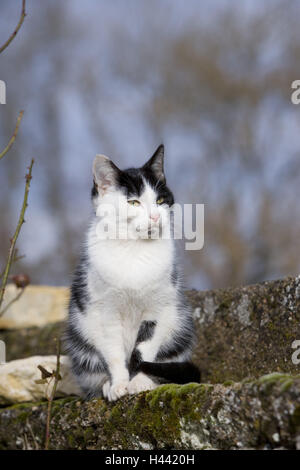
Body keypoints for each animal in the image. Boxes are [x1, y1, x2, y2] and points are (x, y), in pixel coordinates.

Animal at [65, 144, 202, 400]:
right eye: (134, 203)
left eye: (160, 200)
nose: (155, 216)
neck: (134, 250)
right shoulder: (103, 312)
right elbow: (114, 353)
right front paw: (119, 385)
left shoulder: (159, 308)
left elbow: (145, 349)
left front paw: (139, 382)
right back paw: (106, 386)